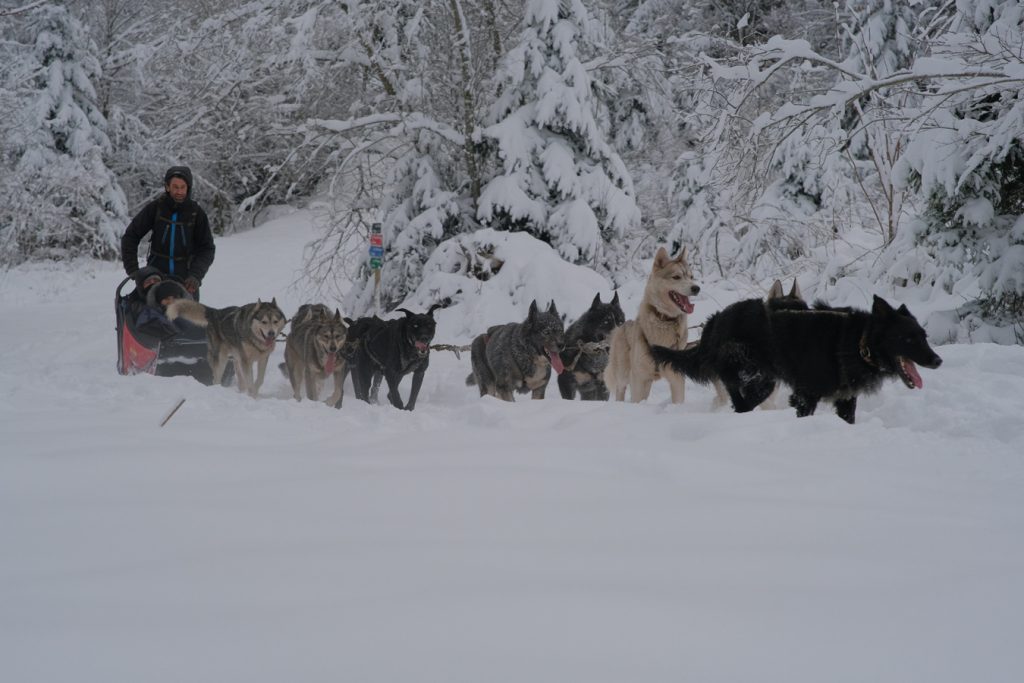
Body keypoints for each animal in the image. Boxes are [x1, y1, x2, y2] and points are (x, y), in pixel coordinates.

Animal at [651, 296, 937, 423]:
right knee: (738, 398)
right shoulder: (805, 395)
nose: (937, 361)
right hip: (746, 371)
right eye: (908, 339)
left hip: (763, 381)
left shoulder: (845, 399)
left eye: (924, 336)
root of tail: (715, 320)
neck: (857, 343)